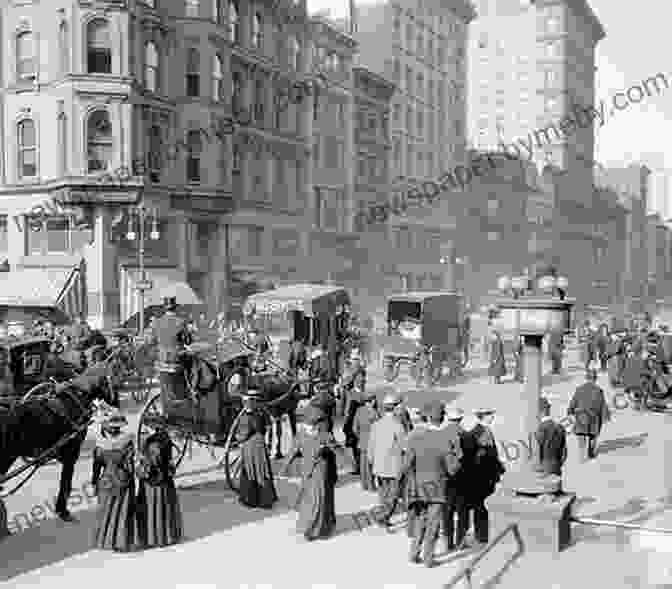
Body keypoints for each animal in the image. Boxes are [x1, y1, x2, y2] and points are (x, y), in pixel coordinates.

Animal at [0, 362, 115, 520]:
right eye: (111, 377)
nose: (115, 401)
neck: (78, 396)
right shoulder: (72, 453)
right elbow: (65, 482)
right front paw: (62, 509)